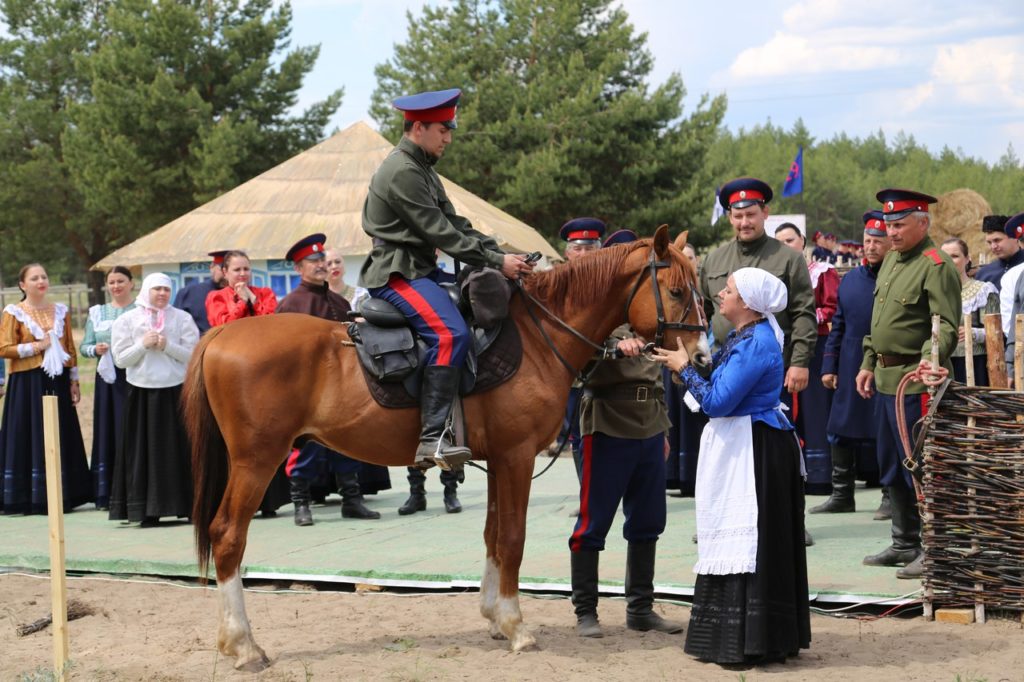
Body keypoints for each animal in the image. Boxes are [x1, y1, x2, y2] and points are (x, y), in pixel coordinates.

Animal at [184, 224, 708, 667]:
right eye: (676, 291)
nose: (701, 357)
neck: (537, 334)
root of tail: (225, 330)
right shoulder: (516, 457)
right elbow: (512, 538)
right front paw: (517, 626)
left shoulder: (499, 460)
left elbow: (494, 535)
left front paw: (494, 616)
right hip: (257, 461)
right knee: (228, 536)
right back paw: (244, 645)